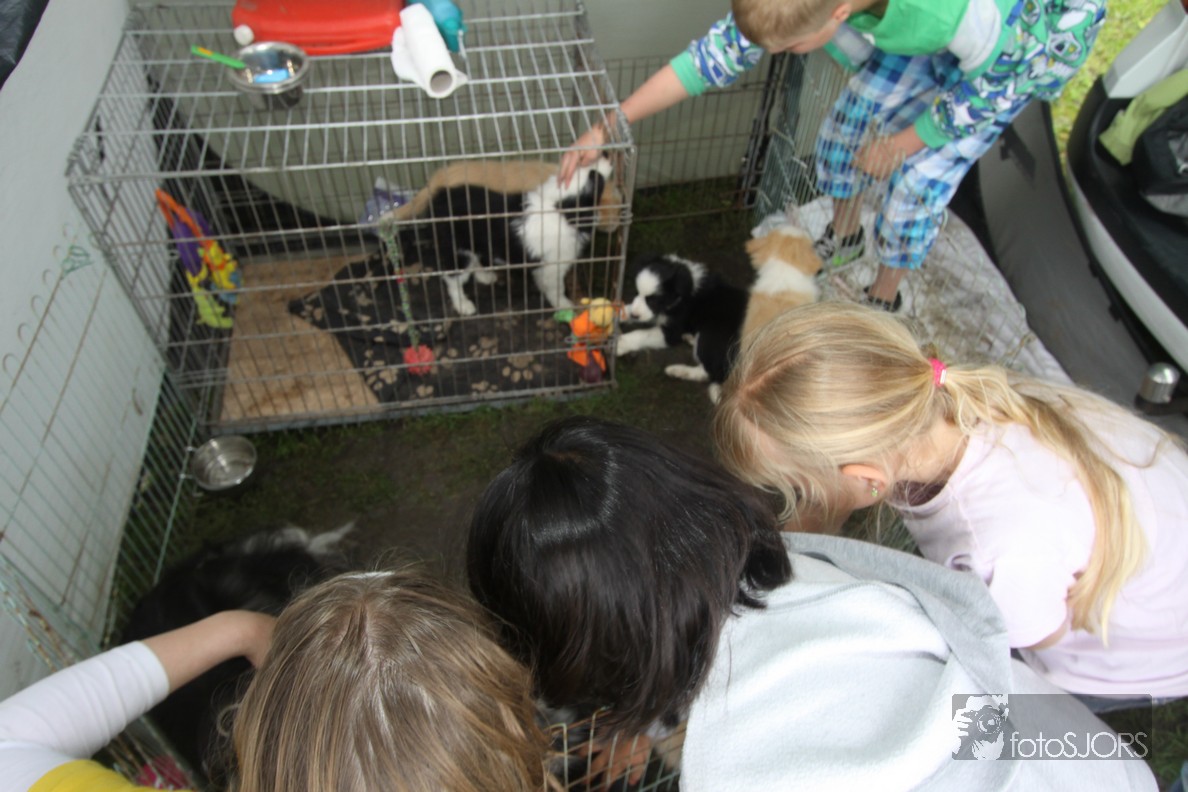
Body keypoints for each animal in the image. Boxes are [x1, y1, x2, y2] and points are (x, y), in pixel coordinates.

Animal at [402, 158, 614, 316]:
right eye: (595, 177)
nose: (606, 156)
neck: (557, 205)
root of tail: (437, 199)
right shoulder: (555, 262)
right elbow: (556, 288)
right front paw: (564, 305)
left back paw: (484, 276)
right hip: (456, 246)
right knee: (452, 277)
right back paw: (464, 305)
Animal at [615, 254, 749, 403]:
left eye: (653, 300)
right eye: (636, 292)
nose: (635, 315)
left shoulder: (672, 331)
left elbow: (642, 334)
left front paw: (620, 344)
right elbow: (627, 308)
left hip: (712, 335)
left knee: (712, 371)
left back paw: (678, 370)